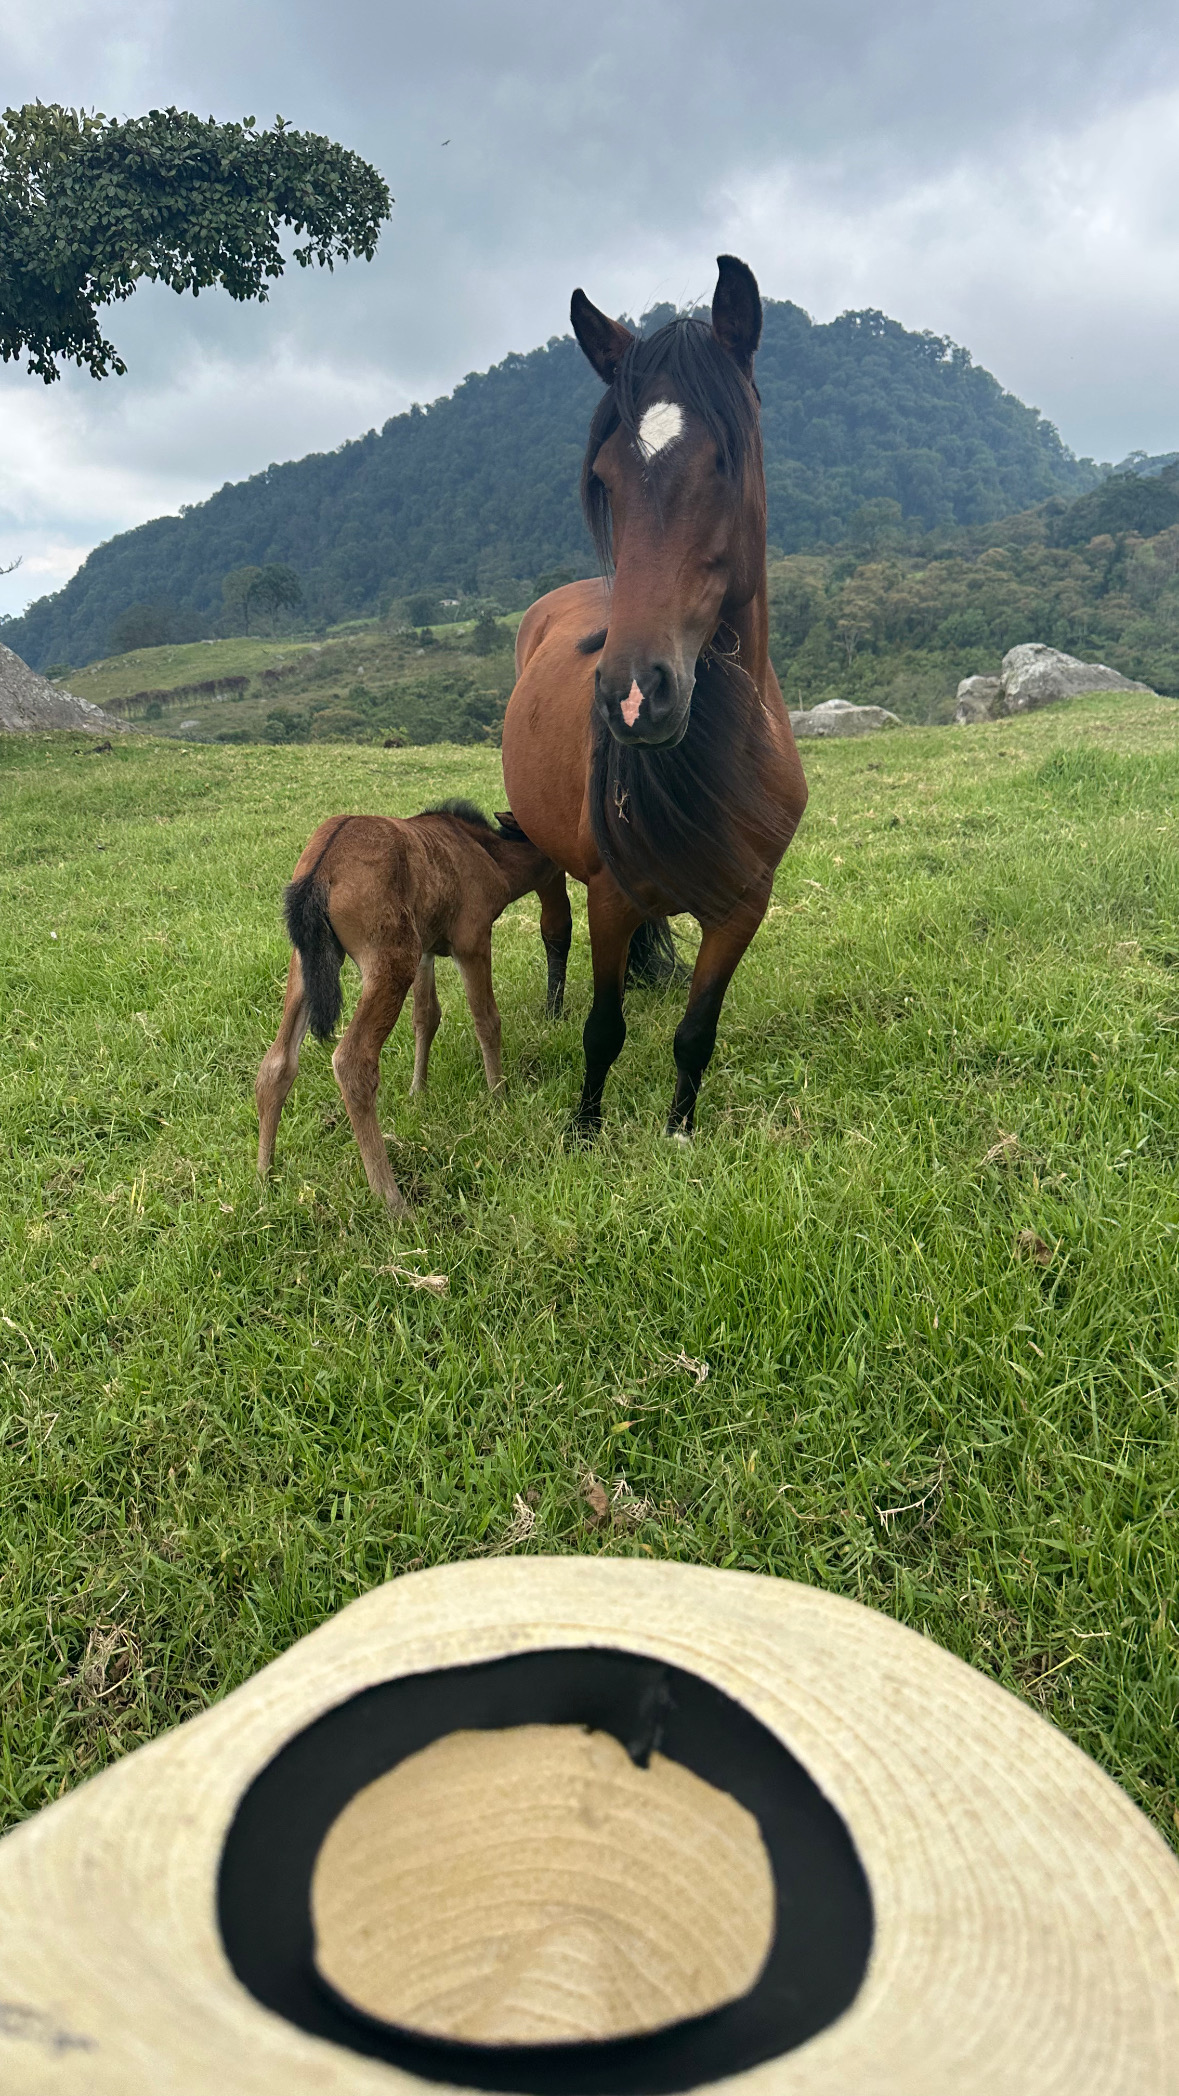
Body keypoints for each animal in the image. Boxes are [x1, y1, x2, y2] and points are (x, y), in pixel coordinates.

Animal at [255, 802, 555, 1215]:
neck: (486, 852)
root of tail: (320, 869)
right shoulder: (473, 941)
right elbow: (486, 1019)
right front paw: (499, 1096)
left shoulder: (427, 949)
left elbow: (426, 1018)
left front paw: (418, 1092)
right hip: (391, 962)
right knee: (353, 1062)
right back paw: (393, 1201)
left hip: (305, 967)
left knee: (277, 1062)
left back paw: (263, 1176)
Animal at [501, 254, 808, 1140]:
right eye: (604, 478)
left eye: (725, 462)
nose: (636, 697)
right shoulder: (611, 896)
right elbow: (603, 1028)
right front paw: (584, 1128)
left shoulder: (742, 907)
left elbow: (695, 1031)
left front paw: (678, 1128)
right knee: (554, 930)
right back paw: (551, 1006)